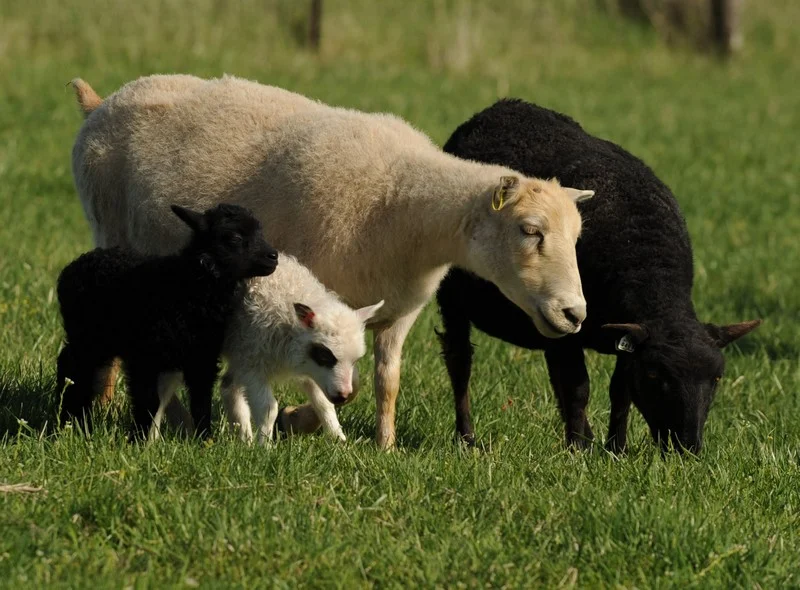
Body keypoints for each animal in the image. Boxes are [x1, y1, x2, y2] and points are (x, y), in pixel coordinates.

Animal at [56, 203, 279, 439]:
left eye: (260, 231)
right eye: (235, 237)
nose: (273, 256)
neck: (190, 285)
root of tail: (76, 264)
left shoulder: (202, 356)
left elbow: (201, 400)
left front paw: (204, 439)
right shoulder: (143, 356)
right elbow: (148, 401)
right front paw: (139, 437)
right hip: (86, 337)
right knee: (72, 367)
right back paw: (70, 418)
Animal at [151, 254, 384, 444]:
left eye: (356, 360)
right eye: (326, 355)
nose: (343, 395)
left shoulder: (304, 368)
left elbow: (323, 402)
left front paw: (339, 439)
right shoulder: (255, 366)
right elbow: (268, 408)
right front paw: (265, 447)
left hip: (240, 352)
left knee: (228, 386)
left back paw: (244, 439)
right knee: (163, 389)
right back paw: (151, 441)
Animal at [435, 98, 761, 453]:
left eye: (717, 377)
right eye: (654, 376)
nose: (687, 448)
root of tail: (502, 106)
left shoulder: (626, 337)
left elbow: (619, 390)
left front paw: (614, 448)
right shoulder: (568, 323)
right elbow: (579, 387)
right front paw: (578, 449)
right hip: (453, 298)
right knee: (460, 361)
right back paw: (467, 438)